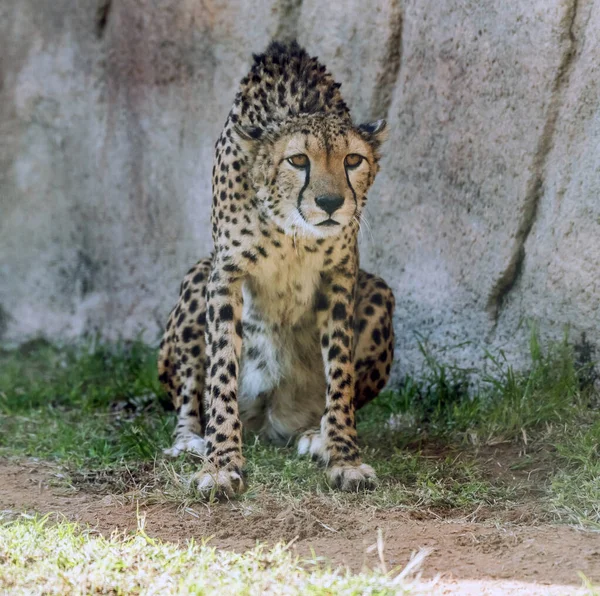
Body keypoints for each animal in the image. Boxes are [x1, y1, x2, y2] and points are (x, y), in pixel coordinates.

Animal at [157, 42, 396, 496]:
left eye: (353, 160)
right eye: (298, 160)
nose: (330, 203)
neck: (291, 231)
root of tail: (267, 421)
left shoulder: (342, 275)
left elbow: (340, 372)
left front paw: (344, 456)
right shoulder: (225, 272)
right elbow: (220, 370)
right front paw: (220, 463)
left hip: (378, 291)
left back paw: (315, 434)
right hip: (196, 280)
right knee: (188, 394)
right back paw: (190, 441)